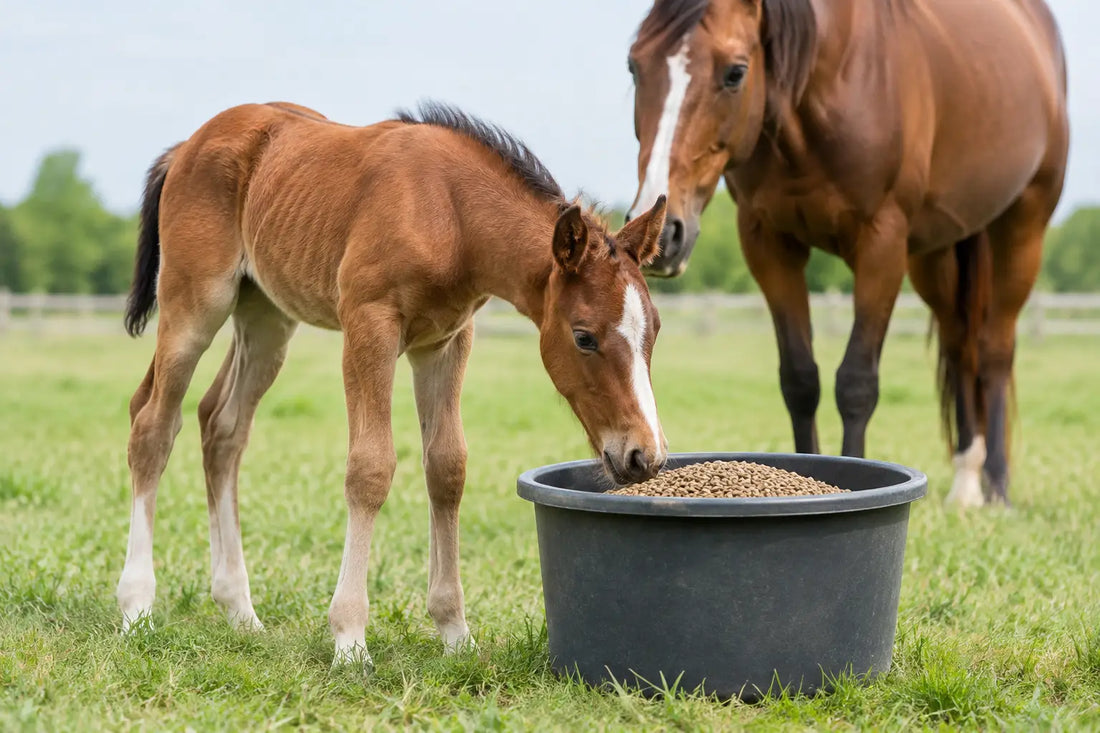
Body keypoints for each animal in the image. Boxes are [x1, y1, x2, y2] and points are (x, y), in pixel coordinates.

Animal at [116, 100, 670, 663]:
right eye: (584, 337)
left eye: (655, 330)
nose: (643, 456)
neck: (450, 215)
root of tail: (187, 146)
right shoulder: (369, 326)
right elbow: (370, 468)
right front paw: (349, 638)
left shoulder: (445, 342)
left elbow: (447, 468)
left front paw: (455, 632)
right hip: (195, 303)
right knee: (153, 424)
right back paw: (137, 606)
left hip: (266, 318)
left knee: (221, 425)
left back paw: (239, 610)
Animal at [625, 0, 1068, 506]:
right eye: (635, 66)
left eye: (735, 73)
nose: (663, 232)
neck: (838, 79)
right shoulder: (768, 244)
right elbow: (800, 380)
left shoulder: (882, 244)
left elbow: (856, 383)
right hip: (936, 254)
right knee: (961, 346)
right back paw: (965, 483)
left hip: (1022, 226)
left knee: (995, 348)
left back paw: (995, 487)